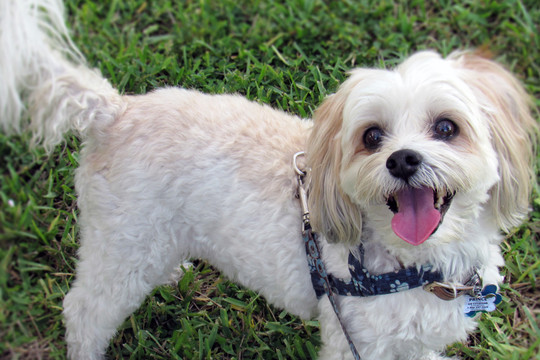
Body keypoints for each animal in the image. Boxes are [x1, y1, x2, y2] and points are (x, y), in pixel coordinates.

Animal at [0, 0, 536, 360]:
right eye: (371, 136)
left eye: (447, 128)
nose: (402, 161)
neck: (418, 267)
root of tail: (114, 110)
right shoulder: (354, 340)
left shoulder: (416, 343)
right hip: (120, 242)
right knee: (84, 310)